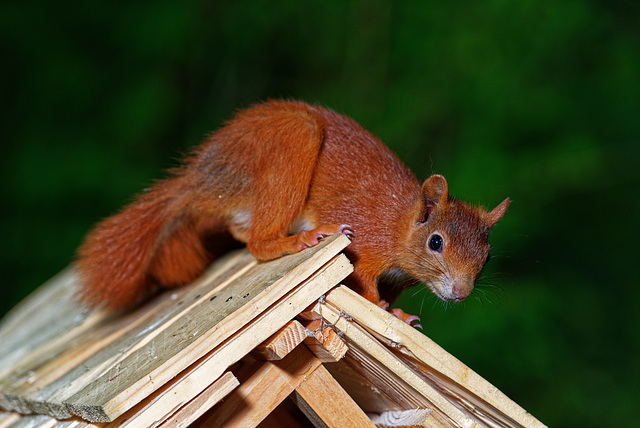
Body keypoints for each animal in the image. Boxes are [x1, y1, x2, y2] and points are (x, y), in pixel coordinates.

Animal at [77, 99, 510, 320]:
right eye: (436, 242)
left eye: (487, 257)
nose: (461, 293)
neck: (399, 224)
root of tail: (203, 181)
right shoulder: (366, 244)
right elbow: (365, 285)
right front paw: (385, 311)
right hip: (292, 141)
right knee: (258, 243)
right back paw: (297, 239)